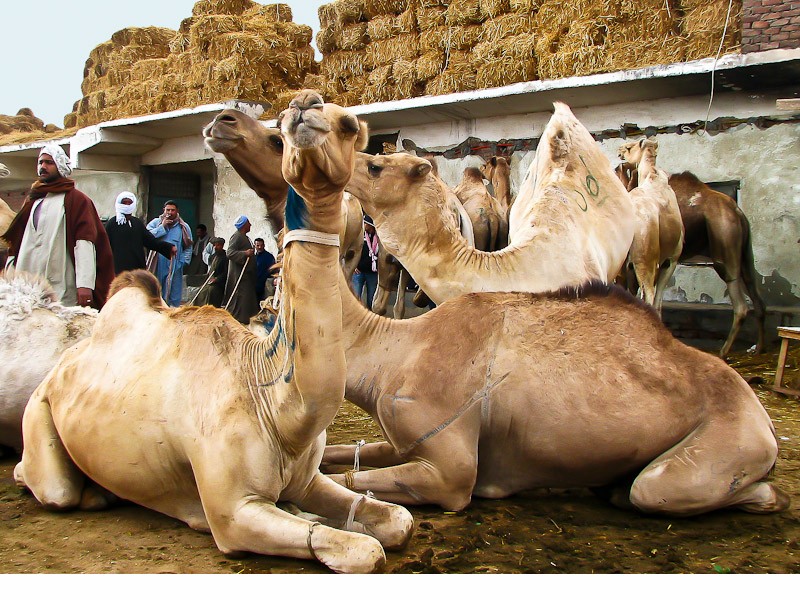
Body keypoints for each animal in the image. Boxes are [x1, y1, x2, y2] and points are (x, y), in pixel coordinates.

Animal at [14, 91, 412, 576]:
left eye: (350, 126)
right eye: (281, 126)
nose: (305, 106)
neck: (277, 409)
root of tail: (62, 366)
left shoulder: (309, 479)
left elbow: (399, 520)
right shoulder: (234, 511)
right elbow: (361, 549)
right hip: (39, 412)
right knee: (51, 486)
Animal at [616, 137, 684, 314]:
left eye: (629, 146)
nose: (619, 150)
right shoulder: (672, 258)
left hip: (640, 259)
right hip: (660, 262)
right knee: (655, 299)